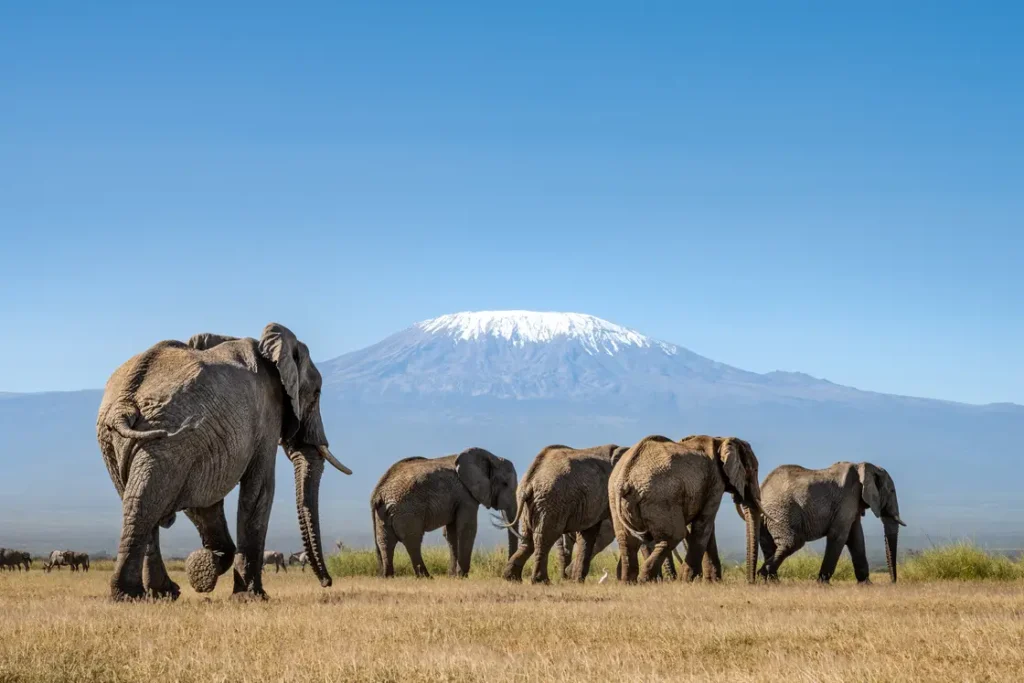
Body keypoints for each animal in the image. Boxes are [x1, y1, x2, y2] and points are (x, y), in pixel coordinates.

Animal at [96, 323, 352, 601]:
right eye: (316, 393)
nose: (327, 582)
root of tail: (125, 403)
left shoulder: (202, 442)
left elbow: (202, 501)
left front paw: (205, 568)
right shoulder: (266, 414)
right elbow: (260, 489)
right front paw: (250, 596)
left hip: (125, 441)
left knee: (139, 499)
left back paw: (159, 593)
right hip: (162, 437)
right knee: (147, 501)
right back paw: (133, 595)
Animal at [370, 448, 518, 578]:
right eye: (505, 484)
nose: (507, 576)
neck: (490, 456)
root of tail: (378, 493)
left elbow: (452, 533)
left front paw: (453, 576)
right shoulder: (465, 495)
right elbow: (467, 529)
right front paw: (462, 576)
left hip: (384, 513)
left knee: (385, 542)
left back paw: (387, 576)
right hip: (408, 509)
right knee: (412, 540)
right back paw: (426, 577)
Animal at [503, 444, 627, 584]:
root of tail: (530, 479)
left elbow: (588, 534)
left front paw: (578, 581)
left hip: (529, 503)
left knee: (528, 539)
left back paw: (511, 578)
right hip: (552, 501)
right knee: (545, 537)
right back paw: (542, 581)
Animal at [610, 435, 762, 584]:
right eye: (754, 470)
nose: (750, 582)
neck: (721, 439)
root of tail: (625, 478)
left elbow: (706, 527)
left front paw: (712, 582)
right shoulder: (715, 482)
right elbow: (704, 524)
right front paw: (689, 580)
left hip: (616, 500)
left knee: (627, 541)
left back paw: (629, 583)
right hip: (661, 497)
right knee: (674, 535)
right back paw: (645, 580)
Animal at [758, 461, 906, 583]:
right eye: (892, 491)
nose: (892, 582)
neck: (864, 466)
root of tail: (763, 488)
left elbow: (856, 538)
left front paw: (866, 584)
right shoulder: (848, 498)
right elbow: (839, 536)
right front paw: (823, 583)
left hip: (768, 516)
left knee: (769, 545)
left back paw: (770, 580)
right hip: (782, 511)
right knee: (793, 542)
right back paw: (763, 575)